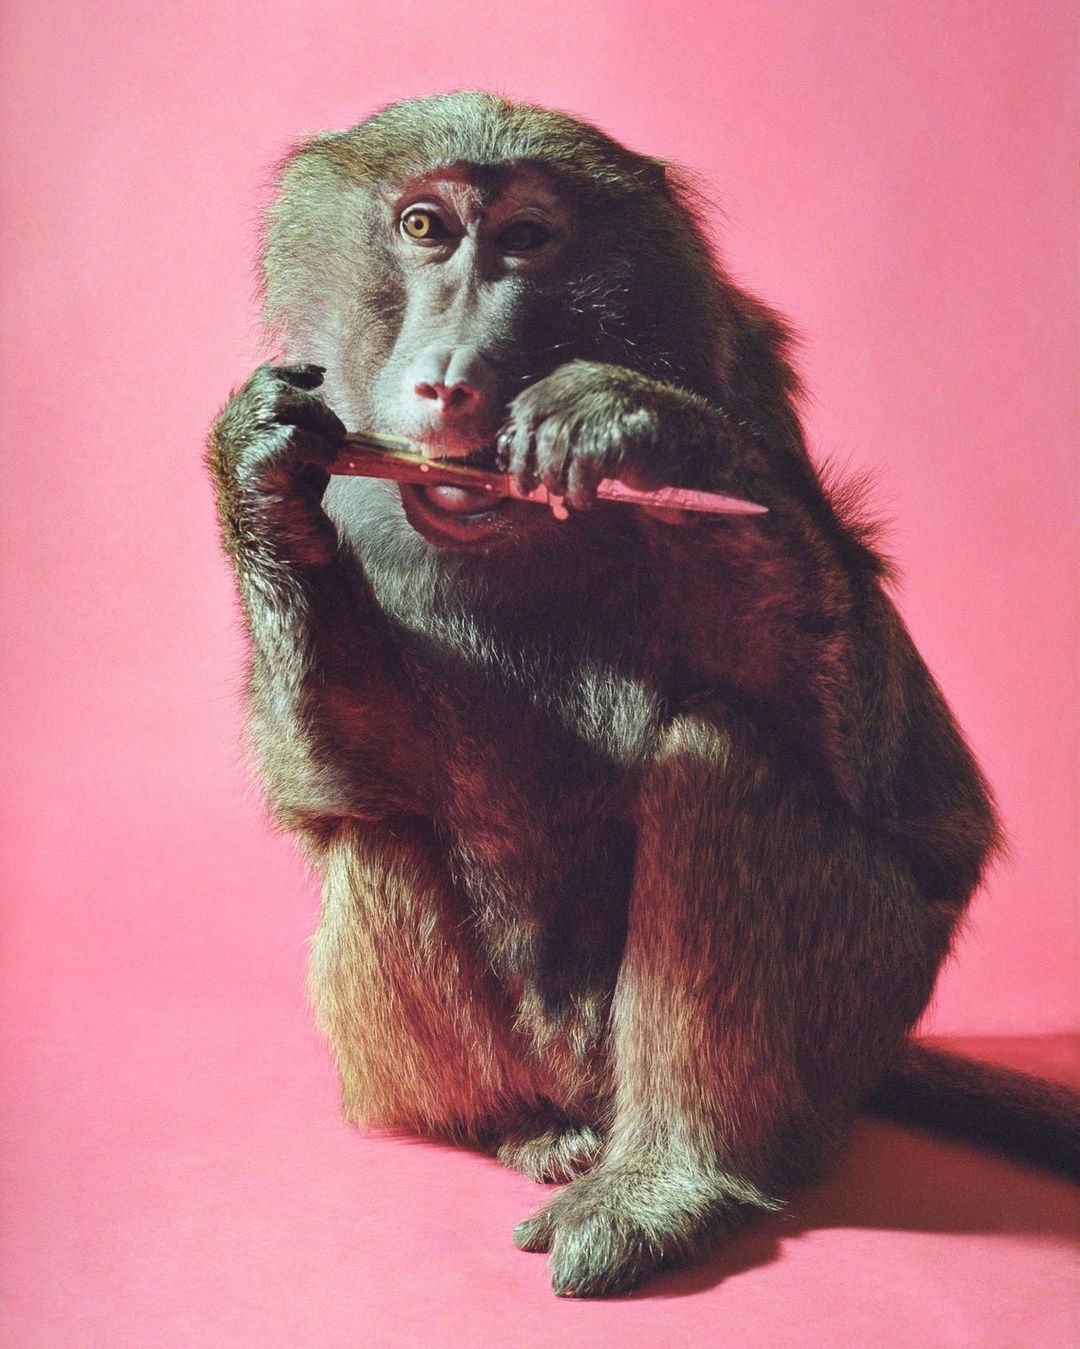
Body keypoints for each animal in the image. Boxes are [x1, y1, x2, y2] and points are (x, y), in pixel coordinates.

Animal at [207, 91, 1080, 1297]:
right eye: (425, 227)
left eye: (527, 239)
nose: (449, 375)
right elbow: (350, 784)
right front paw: (259, 474)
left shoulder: (750, 393)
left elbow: (912, 800)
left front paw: (635, 422)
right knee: (382, 836)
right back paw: (524, 1127)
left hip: (856, 1016)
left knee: (721, 755)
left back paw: (670, 1181)